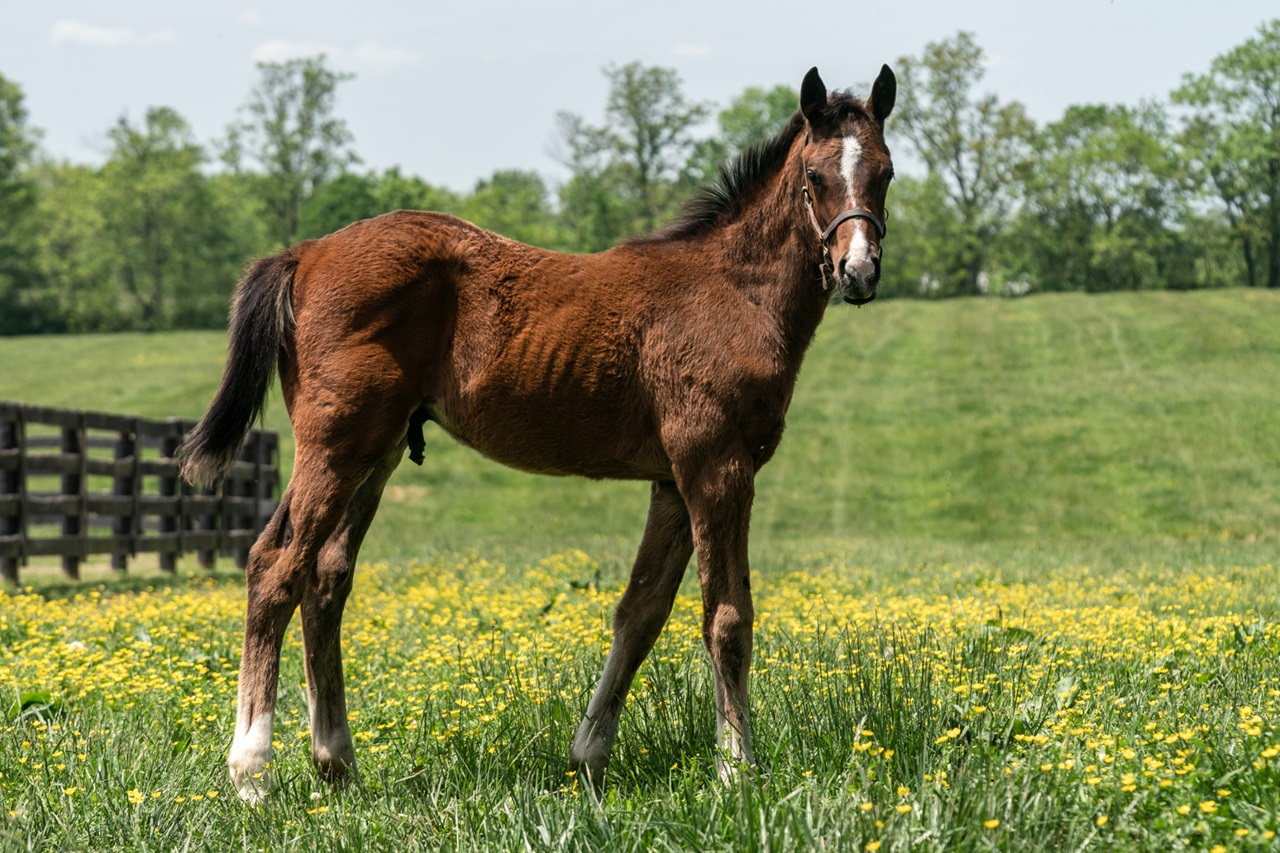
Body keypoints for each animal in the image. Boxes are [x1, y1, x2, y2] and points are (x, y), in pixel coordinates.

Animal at [179, 64, 896, 801]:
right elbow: (727, 618)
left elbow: (640, 613)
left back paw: (337, 761)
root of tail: (304, 252)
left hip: (375, 453)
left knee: (326, 578)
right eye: (814, 176)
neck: (732, 292)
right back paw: (251, 771)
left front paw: (589, 755)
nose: (859, 271)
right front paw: (736, 771)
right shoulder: (716, 469)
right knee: (274, 566)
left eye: (885, 173)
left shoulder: (672, 482)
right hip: (334, 445)